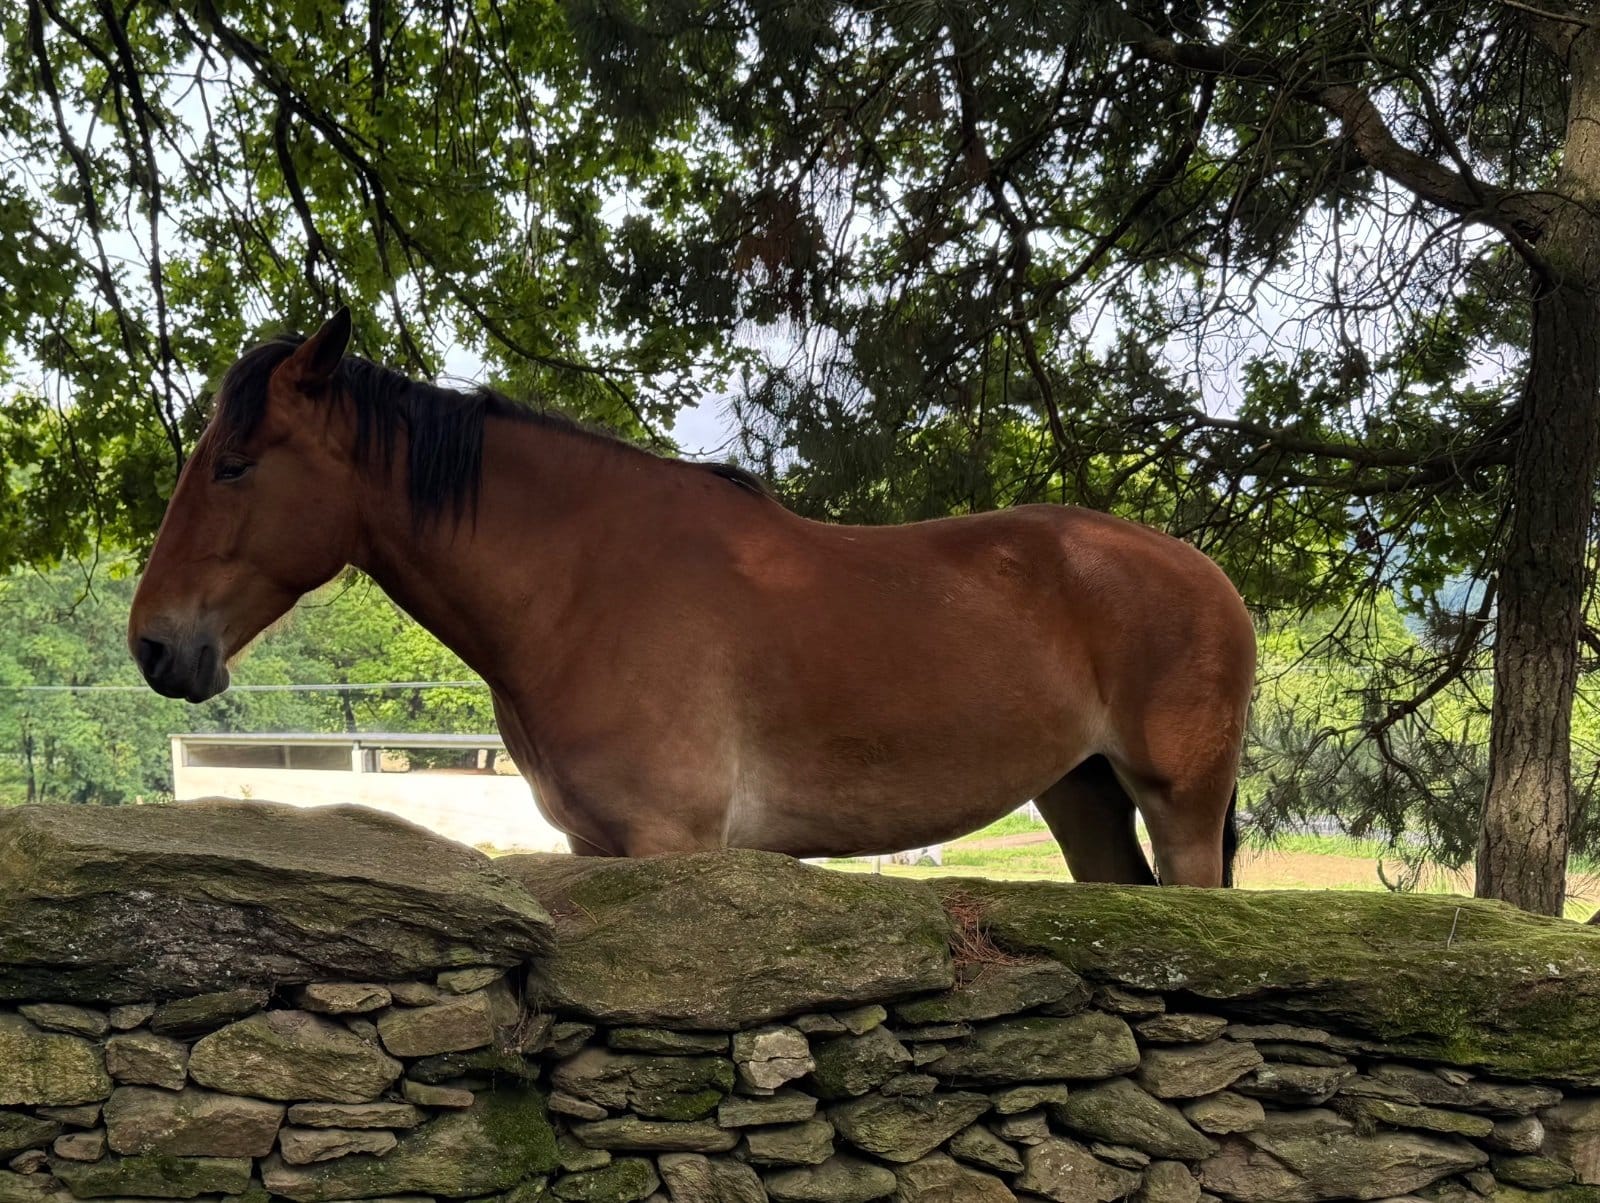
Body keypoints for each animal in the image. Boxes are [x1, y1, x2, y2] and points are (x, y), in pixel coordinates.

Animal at [127, 309, 1257, 886]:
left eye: (234, 463)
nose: (154, 646)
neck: (583, 587)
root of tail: (1206, 578)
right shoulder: (594, 849)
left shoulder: (668, 848)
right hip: (1080, 795)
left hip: (1181, 807)